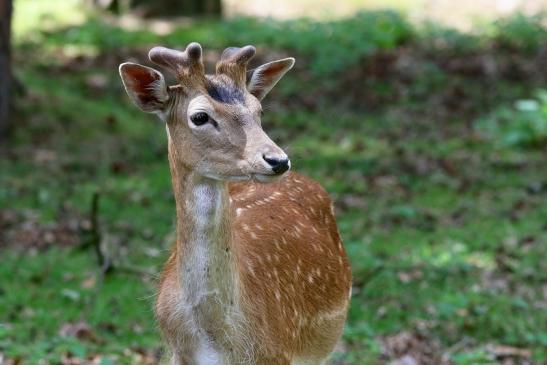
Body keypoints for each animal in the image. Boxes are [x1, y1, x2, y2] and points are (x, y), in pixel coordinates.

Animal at [117, 42, 354, 364]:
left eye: (258, 110)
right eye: (200, 117)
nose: (278, 160)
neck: (215, 339)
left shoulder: (277, 353)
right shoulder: (176, 353)